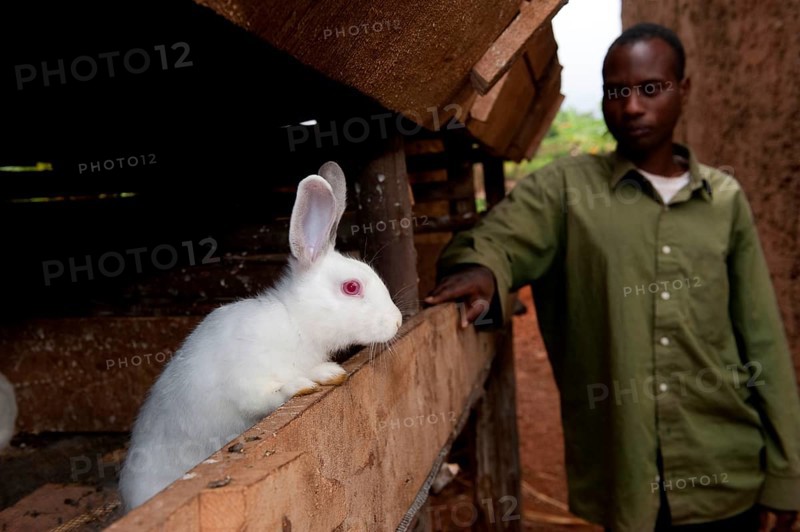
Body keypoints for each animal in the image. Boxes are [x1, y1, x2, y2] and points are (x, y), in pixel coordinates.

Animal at [118, 162, 403, 511]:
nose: (397, 321)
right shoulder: (246, 379)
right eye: (351, 287)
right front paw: (304, 384)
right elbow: (268, 394)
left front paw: (328, 373)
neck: (295, 321)